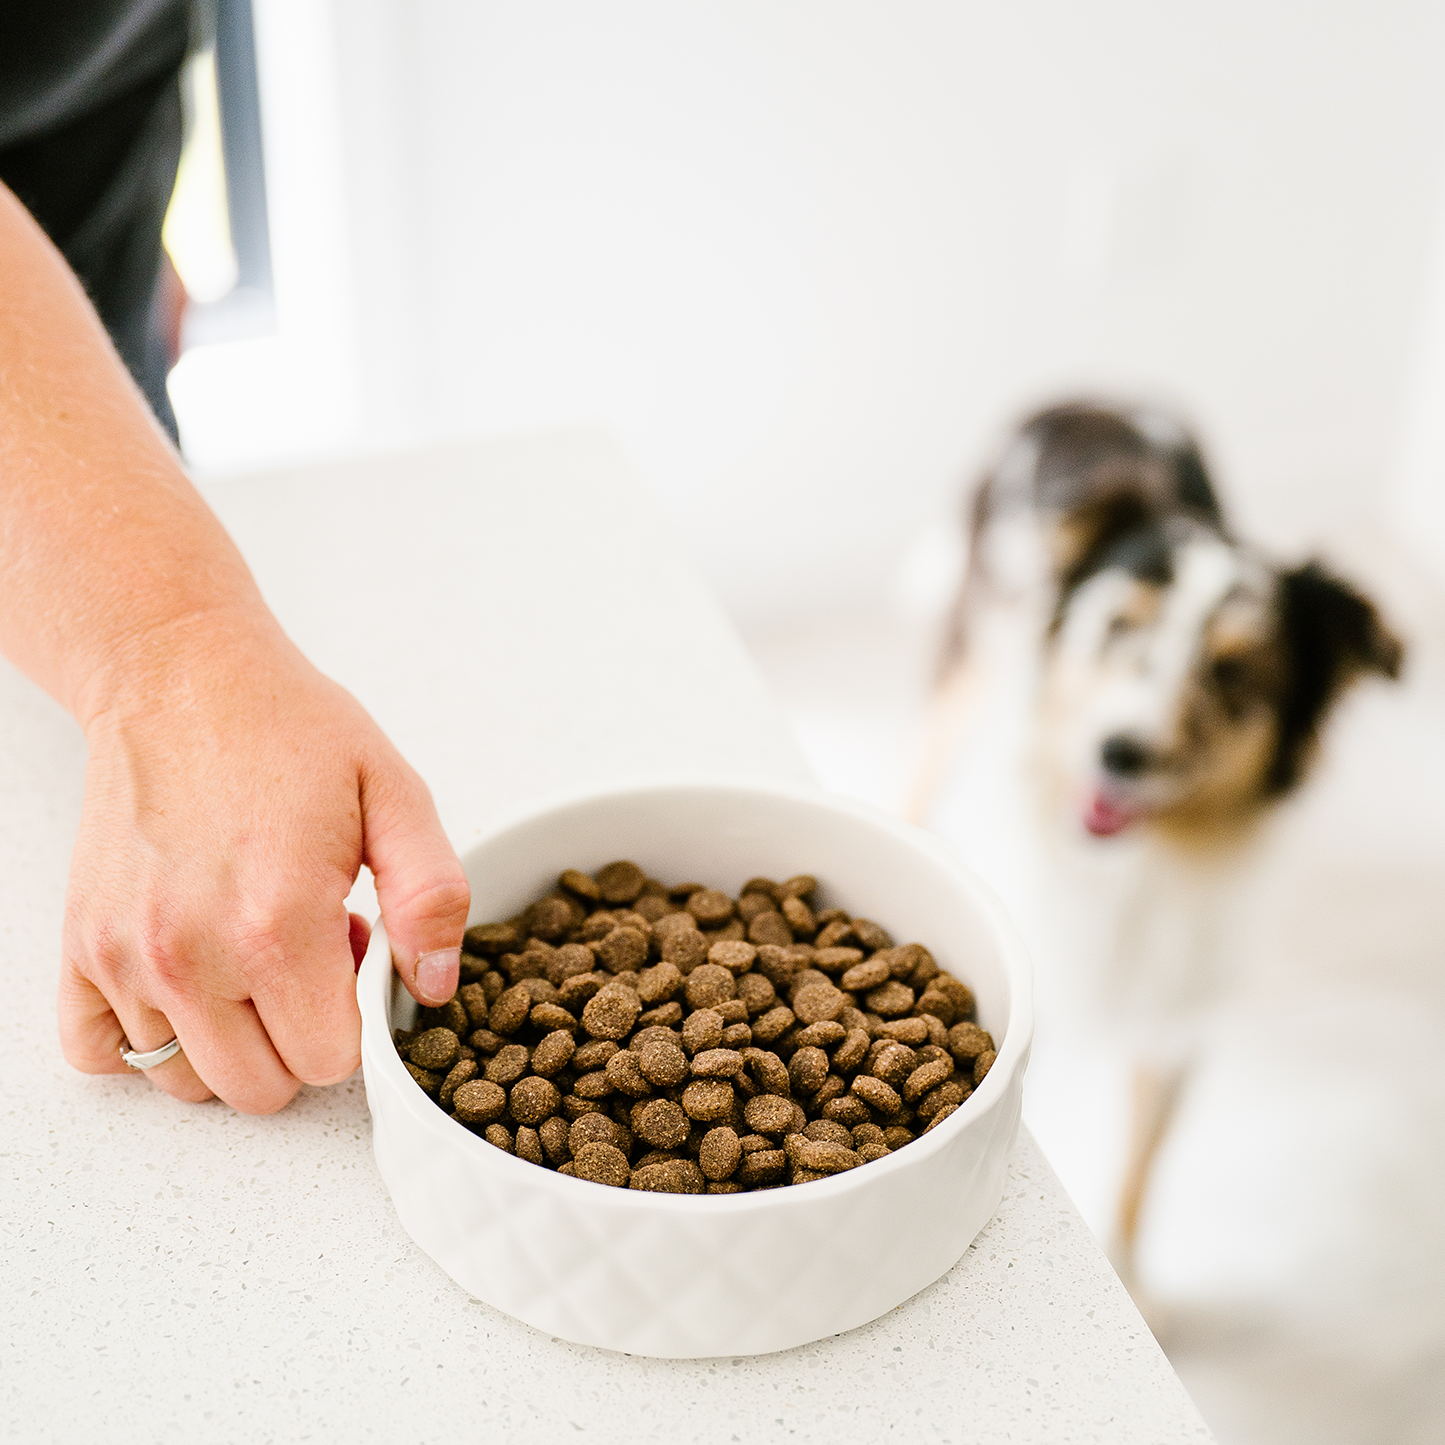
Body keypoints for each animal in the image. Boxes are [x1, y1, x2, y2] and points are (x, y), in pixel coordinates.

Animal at [913, 401, 1398, 1271]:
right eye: (1118, 625)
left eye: (1233, 672)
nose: (1119, 752)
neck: (1127, 872)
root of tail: (1091, 393)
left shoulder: (1175, 1017)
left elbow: (1139, 1172)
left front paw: (1133, 1279)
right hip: (962, 662)